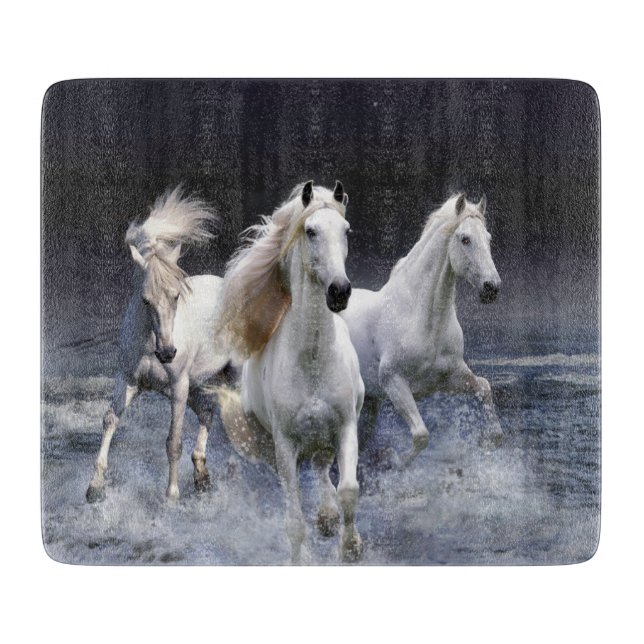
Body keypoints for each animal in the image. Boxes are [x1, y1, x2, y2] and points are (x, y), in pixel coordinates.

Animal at [86, 187, 234, 503]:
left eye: (176, 296)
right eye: (145, 300)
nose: (167, 353)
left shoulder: (178, 387)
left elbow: (173, 441)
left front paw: (171, 496)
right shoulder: (129, 380)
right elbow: (109, 420)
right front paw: (94, 488)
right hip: (198, 384)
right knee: (207, 413)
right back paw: (202, 477)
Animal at [214, 181, 365, 564]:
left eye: (346, 230)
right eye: (310, 231)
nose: (339, 291)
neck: (312, 361)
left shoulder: (345, 427)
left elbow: (349, 489)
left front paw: (351, 547)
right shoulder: (284, 444)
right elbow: (294, 519)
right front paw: (303, 560)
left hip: (323, 439)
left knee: (322, 469)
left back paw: (328, 518)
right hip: (272, 446)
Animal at [340, 193, 503, 466]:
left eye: (488, 238)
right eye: (465, 239)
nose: (492, 288)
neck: (422, 320)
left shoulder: (450, 377)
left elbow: (484, 387)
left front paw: (490, 439)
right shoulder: (394, 382)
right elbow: (421, 435)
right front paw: (392, 460)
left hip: (369, 403)